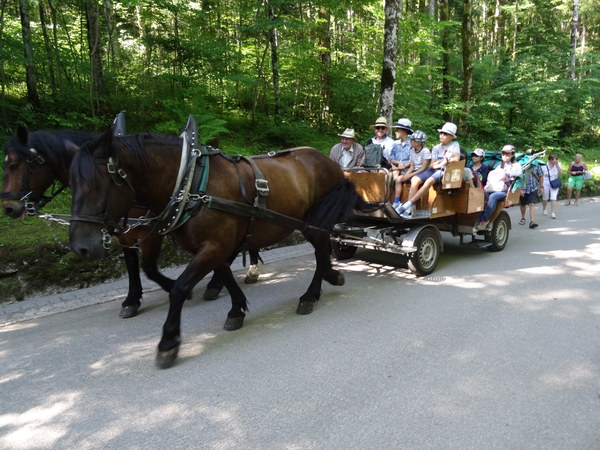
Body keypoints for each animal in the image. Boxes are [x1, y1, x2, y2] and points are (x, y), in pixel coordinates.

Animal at [70, 126, 370, 370]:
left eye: (98, 184)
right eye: (72, 184)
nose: (80, 248)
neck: (191, 183)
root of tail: (328, 162)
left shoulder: (214, 246)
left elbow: (180, 288)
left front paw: (168, 343)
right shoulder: (215, 246)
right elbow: (224, 274)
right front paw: (236, 309)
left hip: (314, 223)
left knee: (320, 252)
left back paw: (311, 294)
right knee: (323, 251)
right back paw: (329, 278)